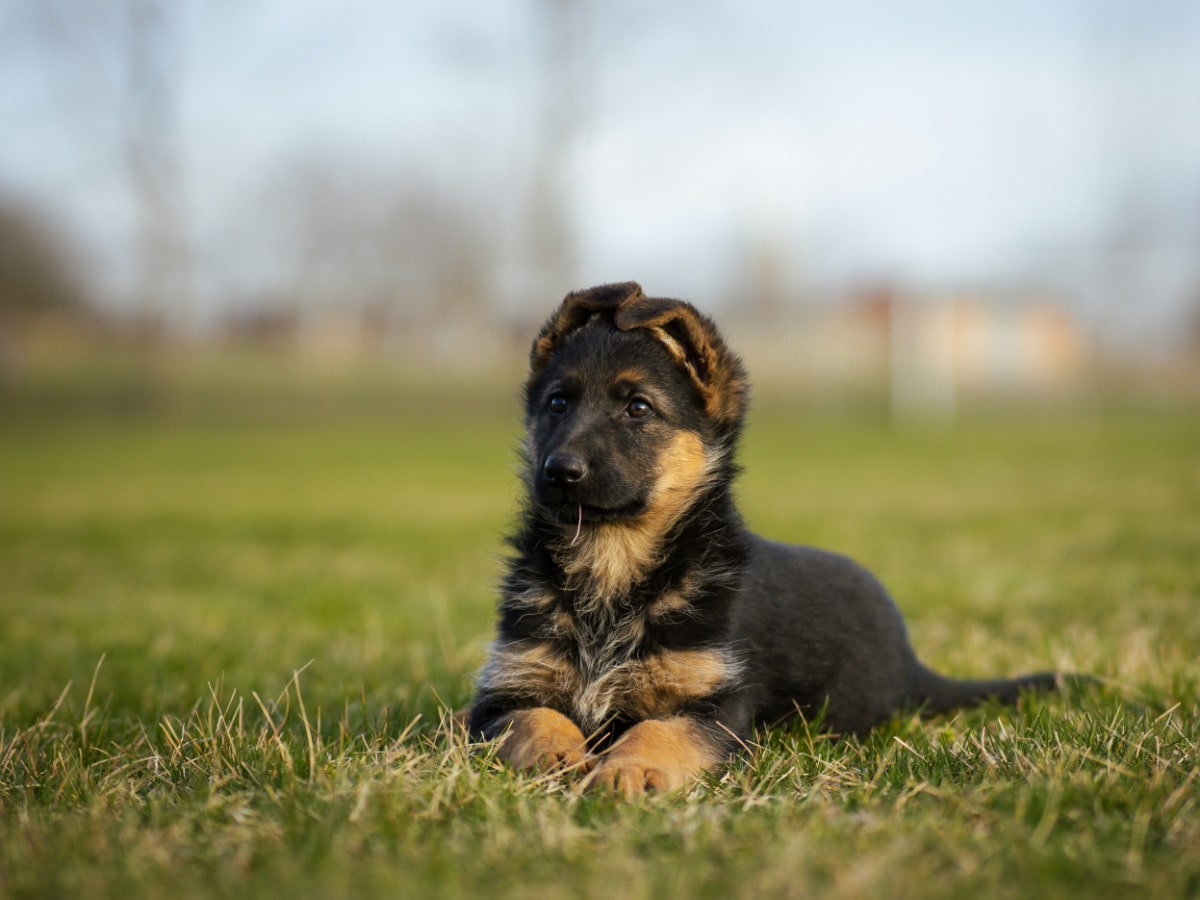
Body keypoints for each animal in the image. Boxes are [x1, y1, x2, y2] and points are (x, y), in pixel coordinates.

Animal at [468, 285, 1060, 801]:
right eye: (557, 403)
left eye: (639, 408)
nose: (559, 471)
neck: (613, 562)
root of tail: (912, 662)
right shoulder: (503, 692)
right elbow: (534, 717)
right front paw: (561, 756)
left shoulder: (719, 709)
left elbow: (659, 731)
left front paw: (627, 769)